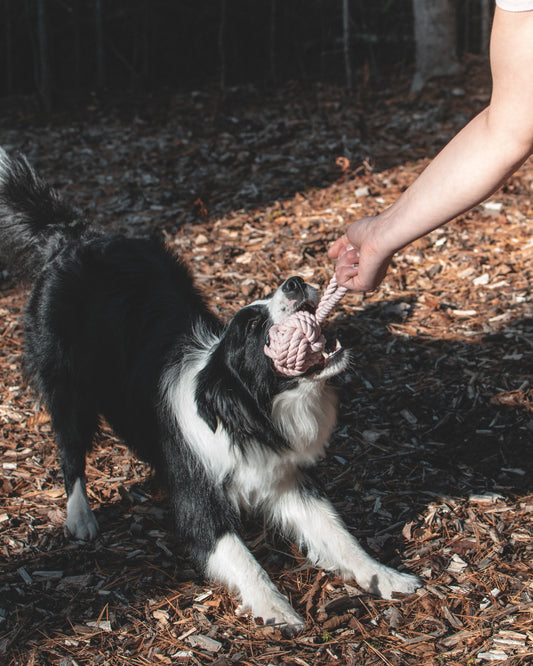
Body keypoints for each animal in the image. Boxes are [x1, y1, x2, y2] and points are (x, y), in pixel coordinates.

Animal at [0, 149, 420, 628]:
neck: (245, 412)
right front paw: (278, 610)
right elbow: (240, 556)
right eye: (253, 326)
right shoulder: (197, 499)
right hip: (69, 384)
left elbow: (336, 532)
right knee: (69, 446)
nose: (294, 281)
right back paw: (80, 518)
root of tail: (71, 239)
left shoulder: (281, 477)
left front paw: (385, 576)